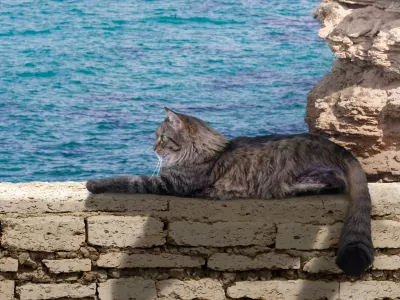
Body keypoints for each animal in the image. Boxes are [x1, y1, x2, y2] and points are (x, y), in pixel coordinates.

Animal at [87, 107, 376, 276]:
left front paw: (94, 183)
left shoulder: (170, 184)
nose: (153, 148)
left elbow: (127, 179)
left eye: (162, 138)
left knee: (333, 183)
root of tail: (339, 148)